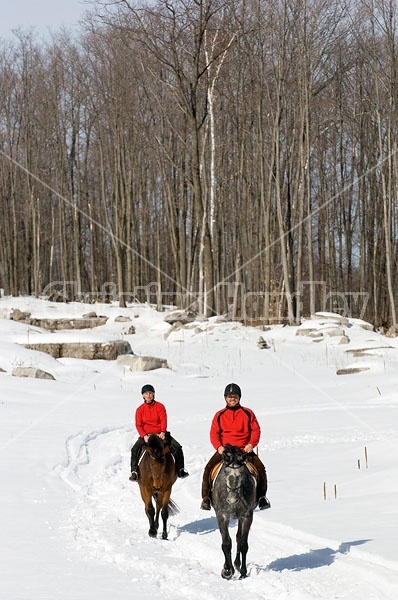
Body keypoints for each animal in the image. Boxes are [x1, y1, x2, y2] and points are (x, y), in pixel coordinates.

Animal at [211, 442, 258, 580]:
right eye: (225, 472)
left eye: (242, 473)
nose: (232, 500)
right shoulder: (222, 515)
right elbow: (226, 543)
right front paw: (227, 570)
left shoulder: (247, 516)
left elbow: (243, 544)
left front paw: (243, 571)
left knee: (238, 538)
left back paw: (237, 565)